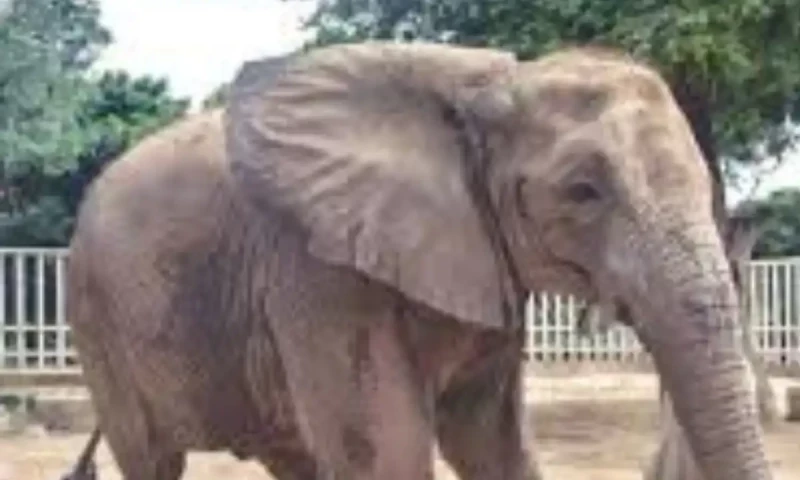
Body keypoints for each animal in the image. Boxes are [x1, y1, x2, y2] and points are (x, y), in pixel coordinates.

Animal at [64, 41, 773, 480]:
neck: (497, 88)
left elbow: (488, 441)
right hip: (100, 323)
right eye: (583, 192)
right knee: (153, 458)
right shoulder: (319, 272)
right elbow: (388, 456)